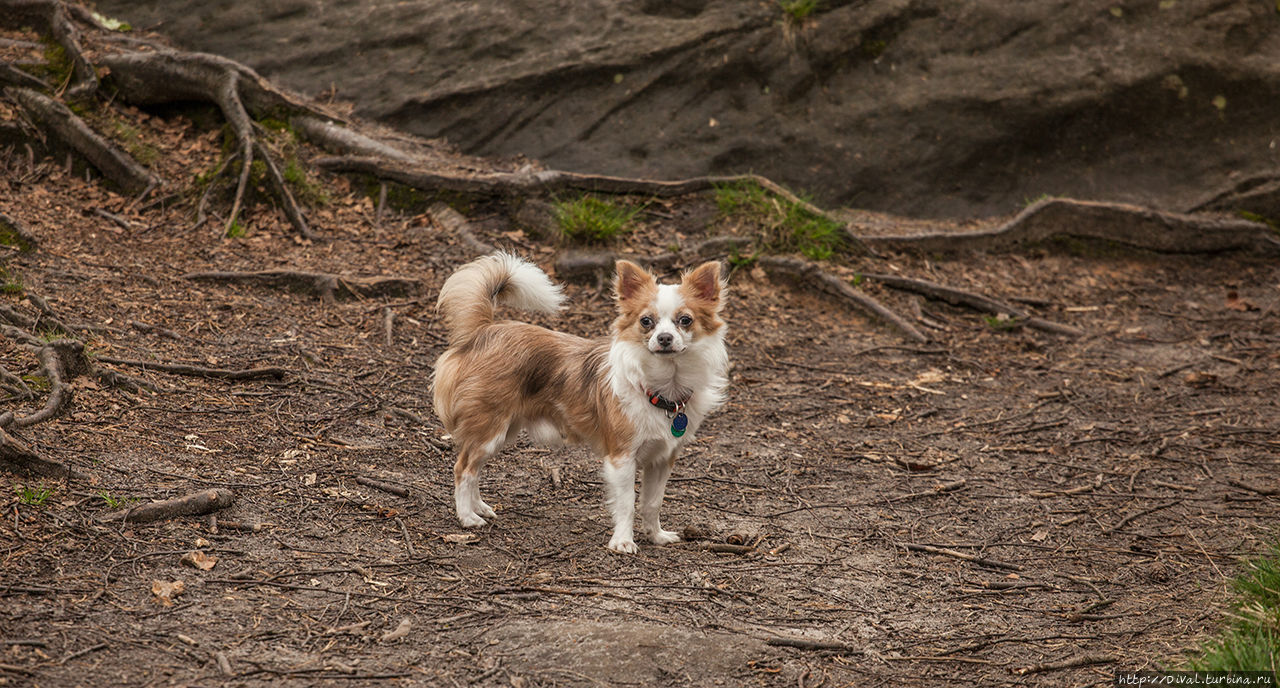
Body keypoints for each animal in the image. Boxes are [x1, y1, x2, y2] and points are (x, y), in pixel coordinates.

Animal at [432, 251, 727, 552]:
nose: (664, 338)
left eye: (685, 320)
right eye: (647, 321)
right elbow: (628, 504)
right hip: (489, 429)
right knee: (463, 469)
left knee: (475, 468)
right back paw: (467, 517)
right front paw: (623, 541)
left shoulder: (662, 459)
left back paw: (479, 507)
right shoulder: (622, 458)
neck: (662, 386)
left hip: (501, 431)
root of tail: (484, 330)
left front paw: (656, 535)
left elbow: (652, 503)